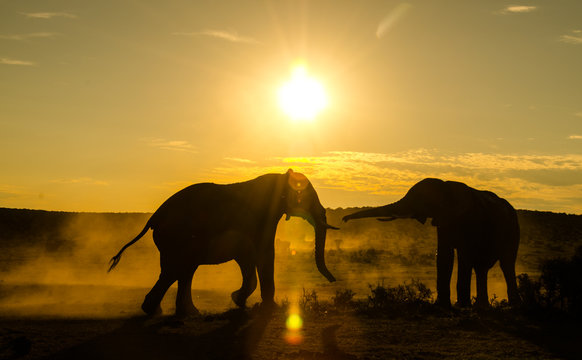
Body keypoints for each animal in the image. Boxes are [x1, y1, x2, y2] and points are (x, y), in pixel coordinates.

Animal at [109, 169, 340, 316]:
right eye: (305, 194)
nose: (333, 281)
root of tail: (154, 217)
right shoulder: (257, 220)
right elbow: (261, 255)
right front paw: (257, 306)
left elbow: (251, 259)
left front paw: (243, 303)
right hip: (175, 237)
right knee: (175, 270)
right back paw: (157, 311)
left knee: (181, 271)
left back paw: (182, 313)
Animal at [344, 179, 524, 308]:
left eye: (421, 200)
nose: (344, 219)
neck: (446, 186)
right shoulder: (443, 219)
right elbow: (444, 254)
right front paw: (442, 305)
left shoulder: (468, 220)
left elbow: (464, 255)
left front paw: (461, 306)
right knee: (481, 267)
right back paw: (483, 306)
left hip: (514, 229)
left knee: (506, 263)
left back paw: (513, 305)